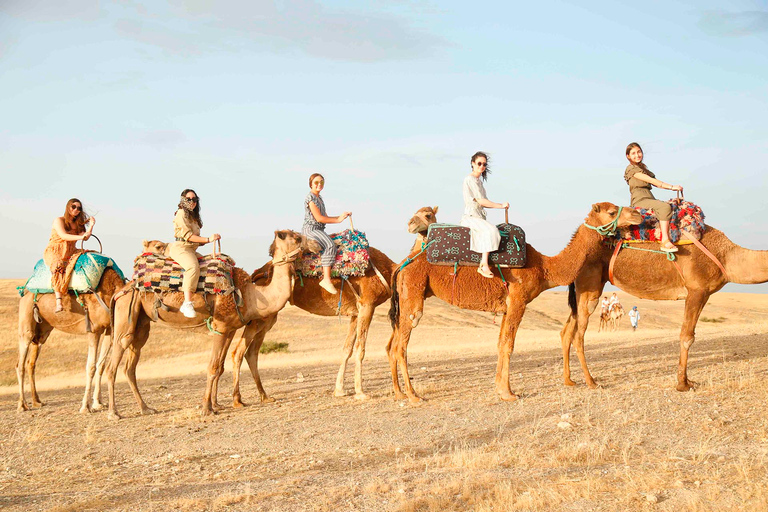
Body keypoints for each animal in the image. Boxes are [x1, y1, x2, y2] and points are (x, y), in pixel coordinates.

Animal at [16, 266, 126, 414]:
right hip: (26, 324)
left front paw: (97, 403)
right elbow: (91, 366)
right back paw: (22, 405)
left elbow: (101, 365)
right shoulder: (93, 329)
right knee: (20, 364)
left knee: (31, 363)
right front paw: (85, 407)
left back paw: (37, 401)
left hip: (42, 332)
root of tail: (25, 293)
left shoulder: (109, 329)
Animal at [106, 232, 318, 420]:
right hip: (125, 316)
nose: (316, 245)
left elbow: (220, 366)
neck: (250, 295)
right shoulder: (221, 326)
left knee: (130, 366)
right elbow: (213, 367)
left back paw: (146, 408)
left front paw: (216, 404)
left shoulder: (229, 330)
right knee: (114, 362)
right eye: (297, 237)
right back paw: (114, 413)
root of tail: (123, 289)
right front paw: (207, 409)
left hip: (141, 324)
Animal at [228, 207, 440, 404]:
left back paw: (264, 396)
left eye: (428, 215)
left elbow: (347, 349)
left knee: (251, 352)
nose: (411, 224)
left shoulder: (356, 312)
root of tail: (258, 273)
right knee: (239, 351)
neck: (388, 270)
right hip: (260, 316)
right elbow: (360, 348)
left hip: (268, 317)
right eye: (421, 215)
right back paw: (238, 399)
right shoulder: (367, 304)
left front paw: (339, 390)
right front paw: (360, 392)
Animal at [388, 202, 644, 402]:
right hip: (413, 296)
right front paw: (509, 393)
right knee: (401, 345)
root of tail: (401, 266)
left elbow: (500, 343)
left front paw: (499, 388)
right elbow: (509, 345)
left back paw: (400, 393)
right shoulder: (518, 300)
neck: (544, 267)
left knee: (394, 345)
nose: (638, 215)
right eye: (612, 212)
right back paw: (413, 396)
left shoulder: (506, 307)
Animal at [560, 224, 768, 392]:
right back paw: (591, 382)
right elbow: (687, 337)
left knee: (567, 330)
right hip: (590, 287)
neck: (726, 256)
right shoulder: (696, 290)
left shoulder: (705, 294)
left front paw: (688, 381)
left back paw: (569, 380)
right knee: (579, 335)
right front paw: (682, 384)